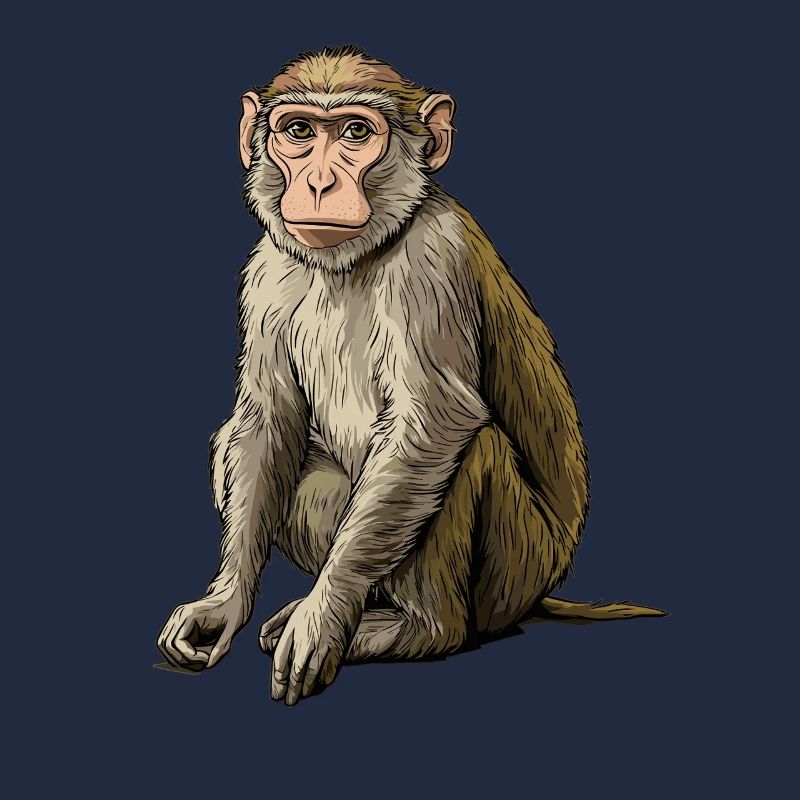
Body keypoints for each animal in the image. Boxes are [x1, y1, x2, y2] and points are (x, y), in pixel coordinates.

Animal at [157, 45, 666, 705]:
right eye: (299, 132)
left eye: (355, 133)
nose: (317, 182)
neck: (357, 255)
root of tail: (541, 587)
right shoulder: (266, 269)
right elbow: (266, 422)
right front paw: (224, 604)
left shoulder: (434, 259)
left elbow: (433, 426)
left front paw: (323, 618)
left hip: (514, 569)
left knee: (471, 449)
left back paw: (418, 629)